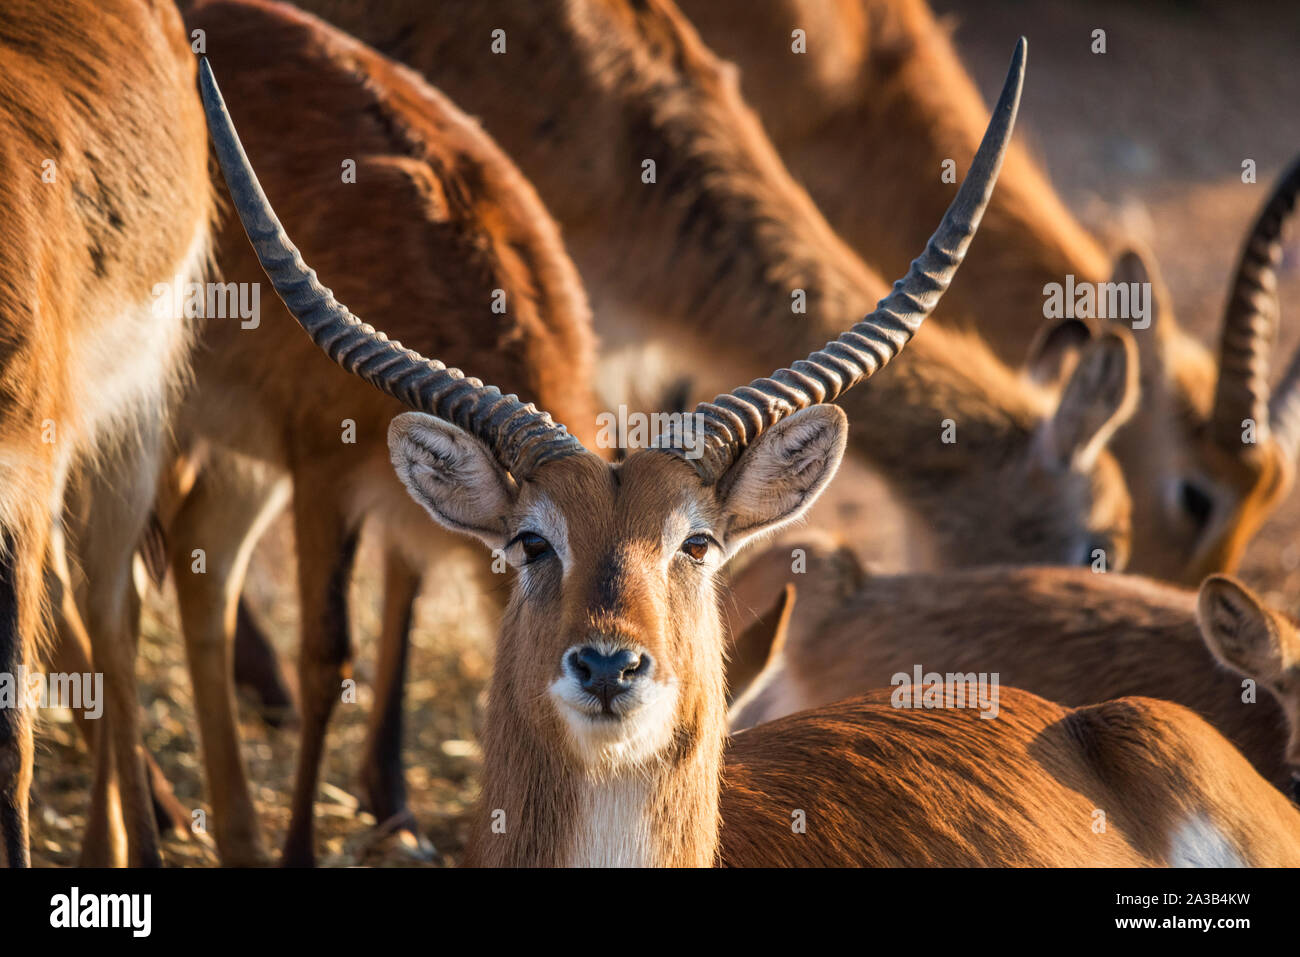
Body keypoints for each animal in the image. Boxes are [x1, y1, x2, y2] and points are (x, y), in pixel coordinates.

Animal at [148, 0, 603, 868]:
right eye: (536, 544)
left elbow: (404, 602)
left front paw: (395, 815)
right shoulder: (322, 471)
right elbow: (328, 658)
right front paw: (304, 846)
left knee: (198, 558)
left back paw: (225, 829)